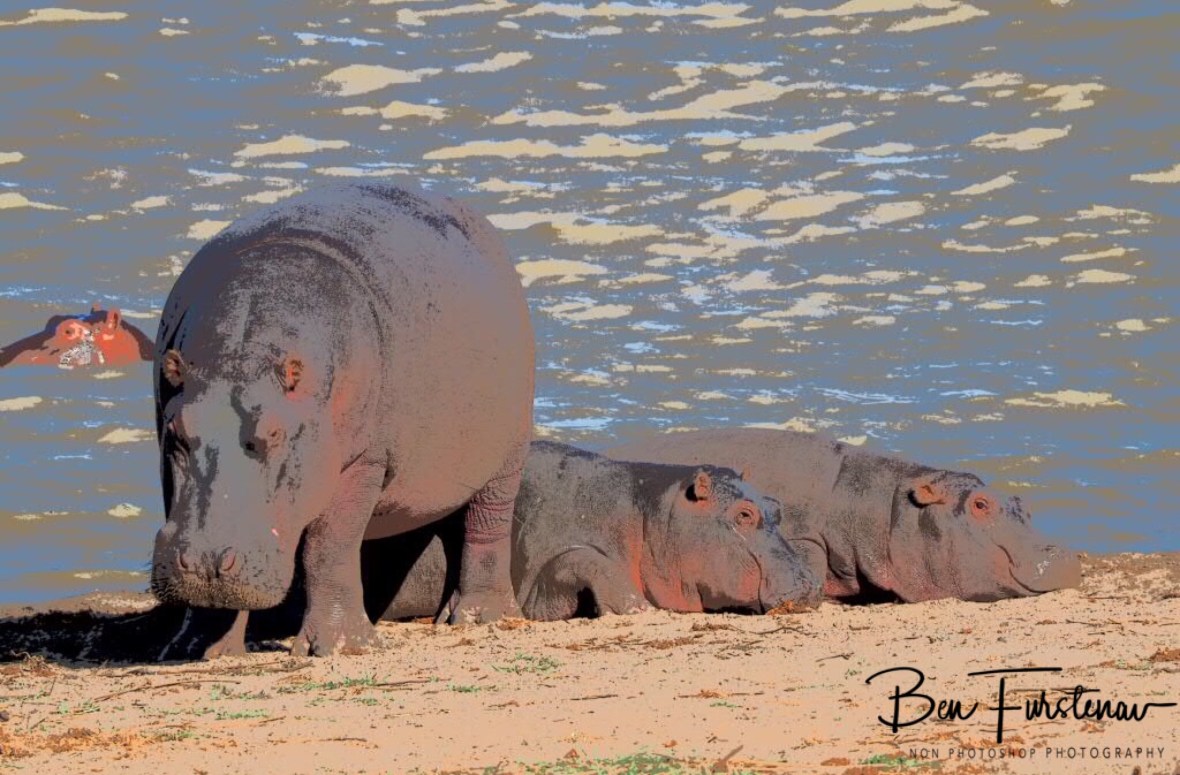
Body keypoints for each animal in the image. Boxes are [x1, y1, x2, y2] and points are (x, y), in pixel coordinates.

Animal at [150, 182, 535, 658]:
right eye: (177, 433)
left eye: (274, 433)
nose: (204, 563)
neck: (242, 353)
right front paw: (196, 649)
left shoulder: (363, 462)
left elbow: (328, 546)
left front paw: (341, 646)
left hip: (507, 455)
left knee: (486, 525)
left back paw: (480, 617)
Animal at [368, 441, 821, 622]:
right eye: (744, 515)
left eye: (776, 506)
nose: (811, 582)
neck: (649, 515)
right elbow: (585, 558)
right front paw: (637, 609)